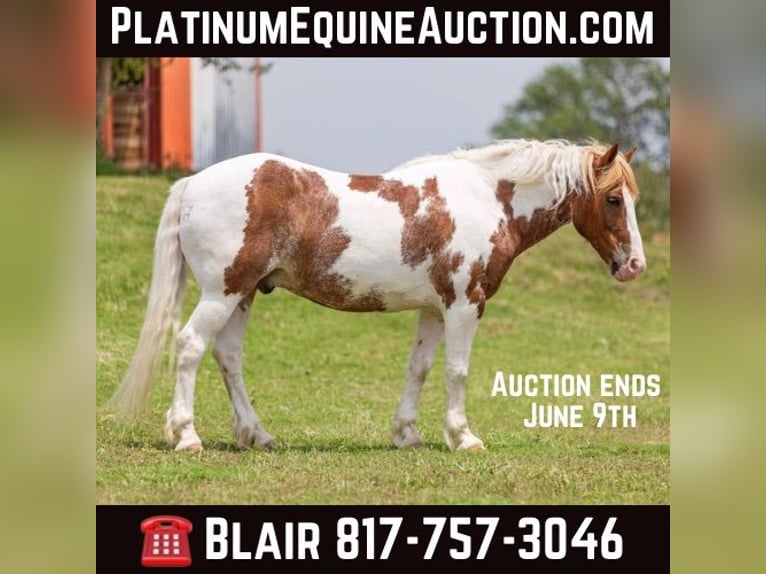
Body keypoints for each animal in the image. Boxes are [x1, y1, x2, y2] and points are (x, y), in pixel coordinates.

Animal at [108, 139, 645, 452]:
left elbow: (420, 369)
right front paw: (464, 437)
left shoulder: (435, 310)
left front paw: (408, 435)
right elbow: (457, 370)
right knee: (190, 348)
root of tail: (193, 183)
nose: (634, 266)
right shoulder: (465, 304)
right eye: (613, 199)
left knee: (228, 357)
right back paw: (186, 436)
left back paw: (257, 435)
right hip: (221, 291)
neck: (487, 198)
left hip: (242, 294)